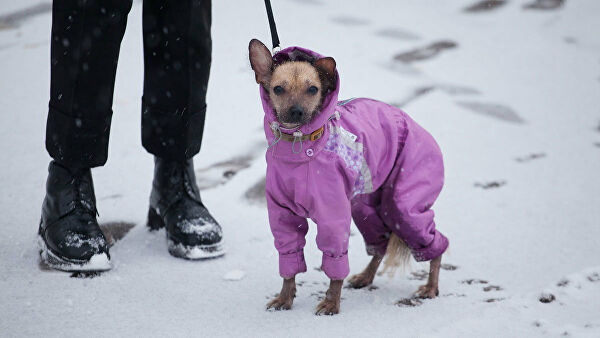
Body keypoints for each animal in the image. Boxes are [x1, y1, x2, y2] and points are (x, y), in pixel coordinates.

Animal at [248, 38, 450, 316]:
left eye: (313, 89)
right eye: (278, 89)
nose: (297, 111)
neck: (299, 148)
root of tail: (419, 128)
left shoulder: (333, 217)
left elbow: (335, 261)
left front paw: (332, 303)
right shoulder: (283, 216)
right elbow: (289, 258)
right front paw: (285, 298)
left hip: (404, 207)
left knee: (435, 244)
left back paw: (431, 287)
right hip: (366, 207)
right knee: (381, 244)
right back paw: (366, 276)